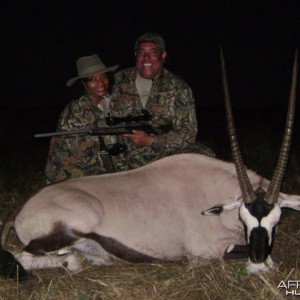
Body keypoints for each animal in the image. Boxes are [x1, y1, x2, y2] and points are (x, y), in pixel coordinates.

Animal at [0, 49, 298, 278]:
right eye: (243, 218)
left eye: (277, 220)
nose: (257, 264)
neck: (215, 195)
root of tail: (21, 208)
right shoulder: (204, 252)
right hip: (65, 230)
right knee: (26, 257)